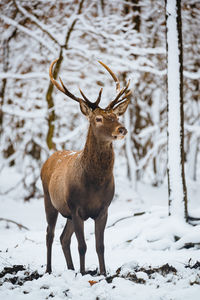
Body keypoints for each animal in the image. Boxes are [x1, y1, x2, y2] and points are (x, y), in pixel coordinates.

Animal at [40, 59, 131, 276]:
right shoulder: (76, 207)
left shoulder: (104, 208)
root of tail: (50, 157)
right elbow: (82, 246)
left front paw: (103, 273)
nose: (121, 129)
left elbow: (100, 246)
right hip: (49, 200)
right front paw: (83, 274)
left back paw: (71, 268)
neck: (94, 185)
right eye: (98, 118)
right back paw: (49, 269)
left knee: (64, 238)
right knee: (50, 234)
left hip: (66, 212)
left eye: (116, 116)